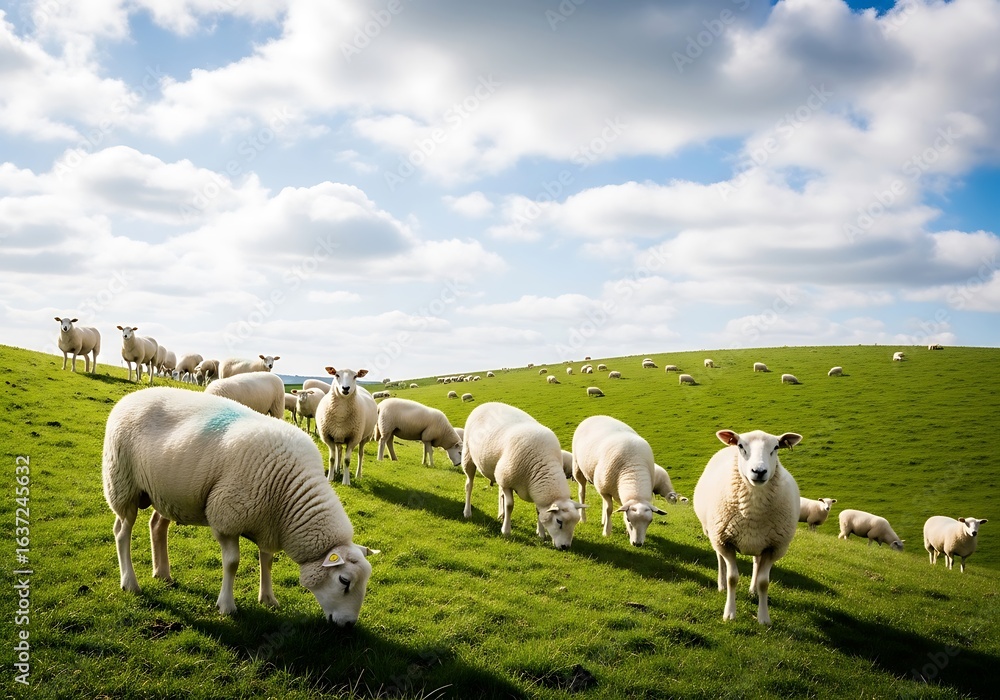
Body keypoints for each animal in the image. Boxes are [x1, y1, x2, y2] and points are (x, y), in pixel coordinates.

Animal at [101, 386, 377, 625]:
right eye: (344, 580)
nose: (348, 625)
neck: (289, 497)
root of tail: (131, 396)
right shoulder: (226, 518)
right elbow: (232, 563)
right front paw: (226, 605)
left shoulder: (268, 525)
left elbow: (267, 560)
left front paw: (268, 598)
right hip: (123, 484)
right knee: (122, 532)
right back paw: (130, 583)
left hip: (168, 492)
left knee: (157, 526)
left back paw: (163, 573)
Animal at [461, 402, 585, 549]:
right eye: (559, 521)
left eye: (575, 523)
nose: (565, 547)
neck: (543, 465)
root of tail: (485, 404)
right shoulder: (507, 482)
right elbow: (510, 505)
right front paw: (506, 531)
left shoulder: (511, 481)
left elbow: (538, 511)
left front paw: (541, 533)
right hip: (469, 456)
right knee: (469, 485)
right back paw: (467, 512)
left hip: (499, 470)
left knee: (499, 493)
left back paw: (501, 515)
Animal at [572, 415, 666, 546]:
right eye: (629, 519)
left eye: (650, 521)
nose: (637, 544)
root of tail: (595, 416)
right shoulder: (605, 490)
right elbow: (609, 509)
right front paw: (606, 532)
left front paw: (624, 531)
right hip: (578, 468)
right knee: (582, 493)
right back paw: (583, 518)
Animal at [693, 429, 803, 625]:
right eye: (741, 446)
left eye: (776, 447)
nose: (759, 471)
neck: (753, 511)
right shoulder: (725, 541)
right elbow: (732, 578)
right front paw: (729, 613)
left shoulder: (774, 548)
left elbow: (764, 582)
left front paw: (764, 618)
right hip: (714, 534)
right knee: (720, 559)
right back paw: (721, 585)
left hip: (760, 541)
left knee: (756, 563)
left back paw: (752, 591)